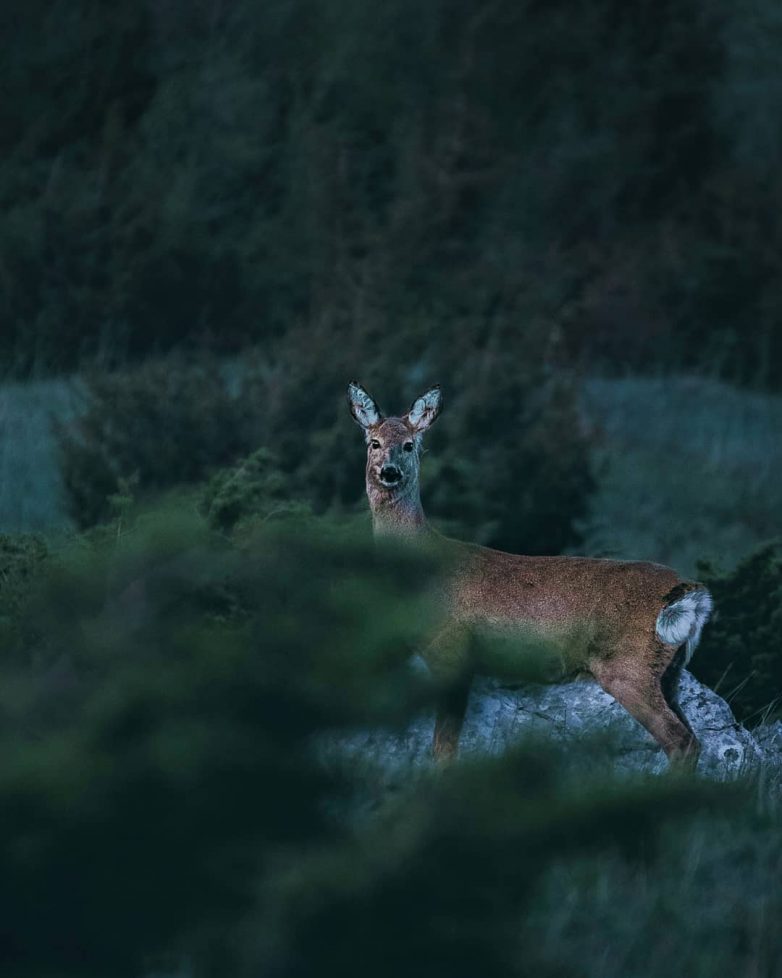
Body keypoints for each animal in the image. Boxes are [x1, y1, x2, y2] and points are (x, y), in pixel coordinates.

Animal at [350, 378, 716, 768]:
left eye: (409, 444)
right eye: (374, 442)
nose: (389, 472)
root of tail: (691, 591)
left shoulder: (450, 649)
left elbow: (444, 749)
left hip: (628, 667)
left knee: (679, 740)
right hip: (669, 673)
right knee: (693, 737)